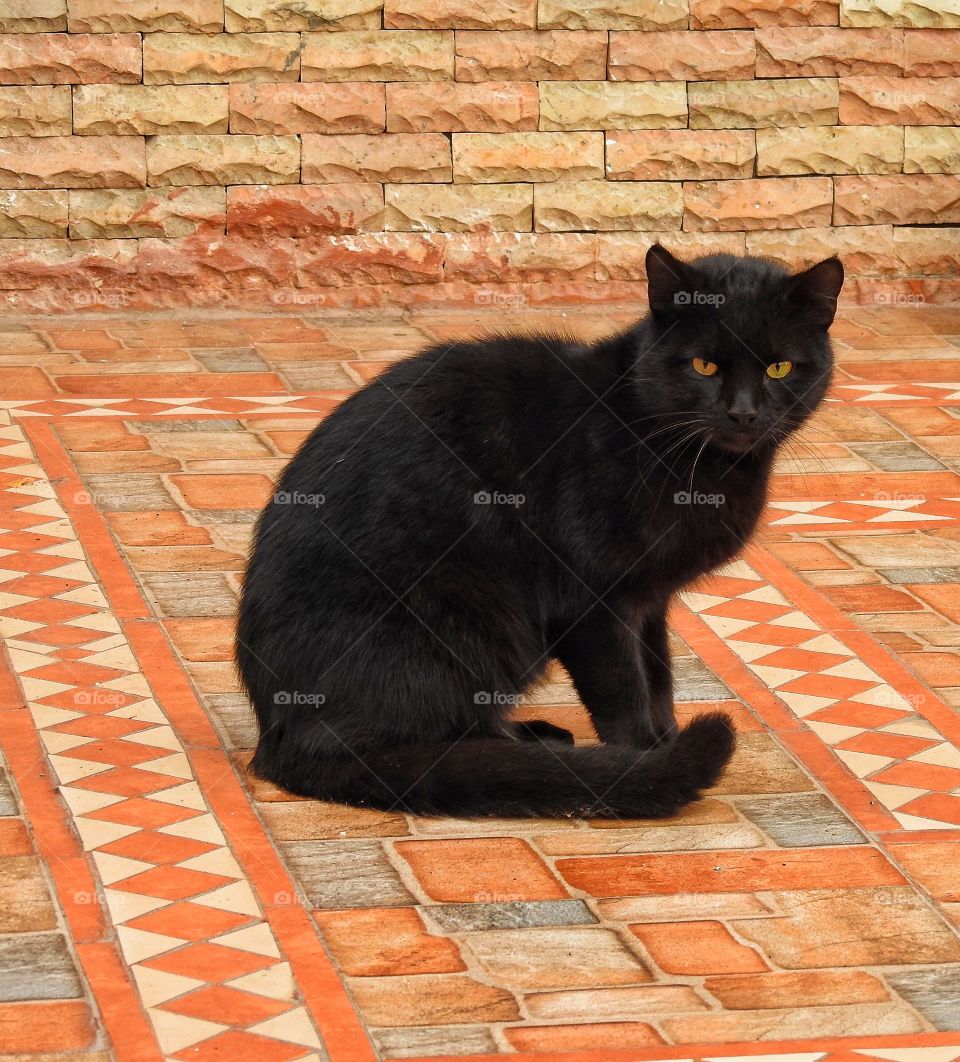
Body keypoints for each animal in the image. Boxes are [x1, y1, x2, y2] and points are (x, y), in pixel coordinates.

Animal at [235, 244, 845, 815]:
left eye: (779, 369)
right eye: (704, 367)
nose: (743, 413)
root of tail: (276, 739)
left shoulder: (650, 599)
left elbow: (659, 676)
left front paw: (665, 740)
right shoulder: (595, 603)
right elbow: (624, 690)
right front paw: (646, 762)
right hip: (476, 618)